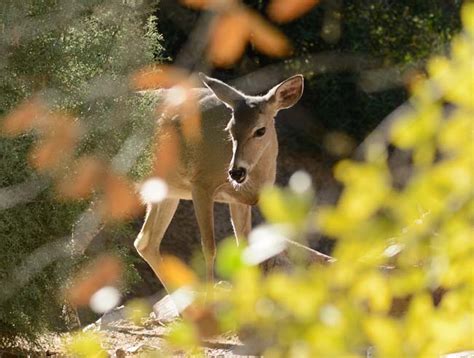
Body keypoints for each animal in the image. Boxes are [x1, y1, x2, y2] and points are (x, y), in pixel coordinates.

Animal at [133, 73, 304, 290]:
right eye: (230, 129)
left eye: (260, 130)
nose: (236, 172)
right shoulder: (201, 184)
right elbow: (209, 247)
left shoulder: (238, 201)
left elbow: (245, 248)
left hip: (167, 192)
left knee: (145, 242)